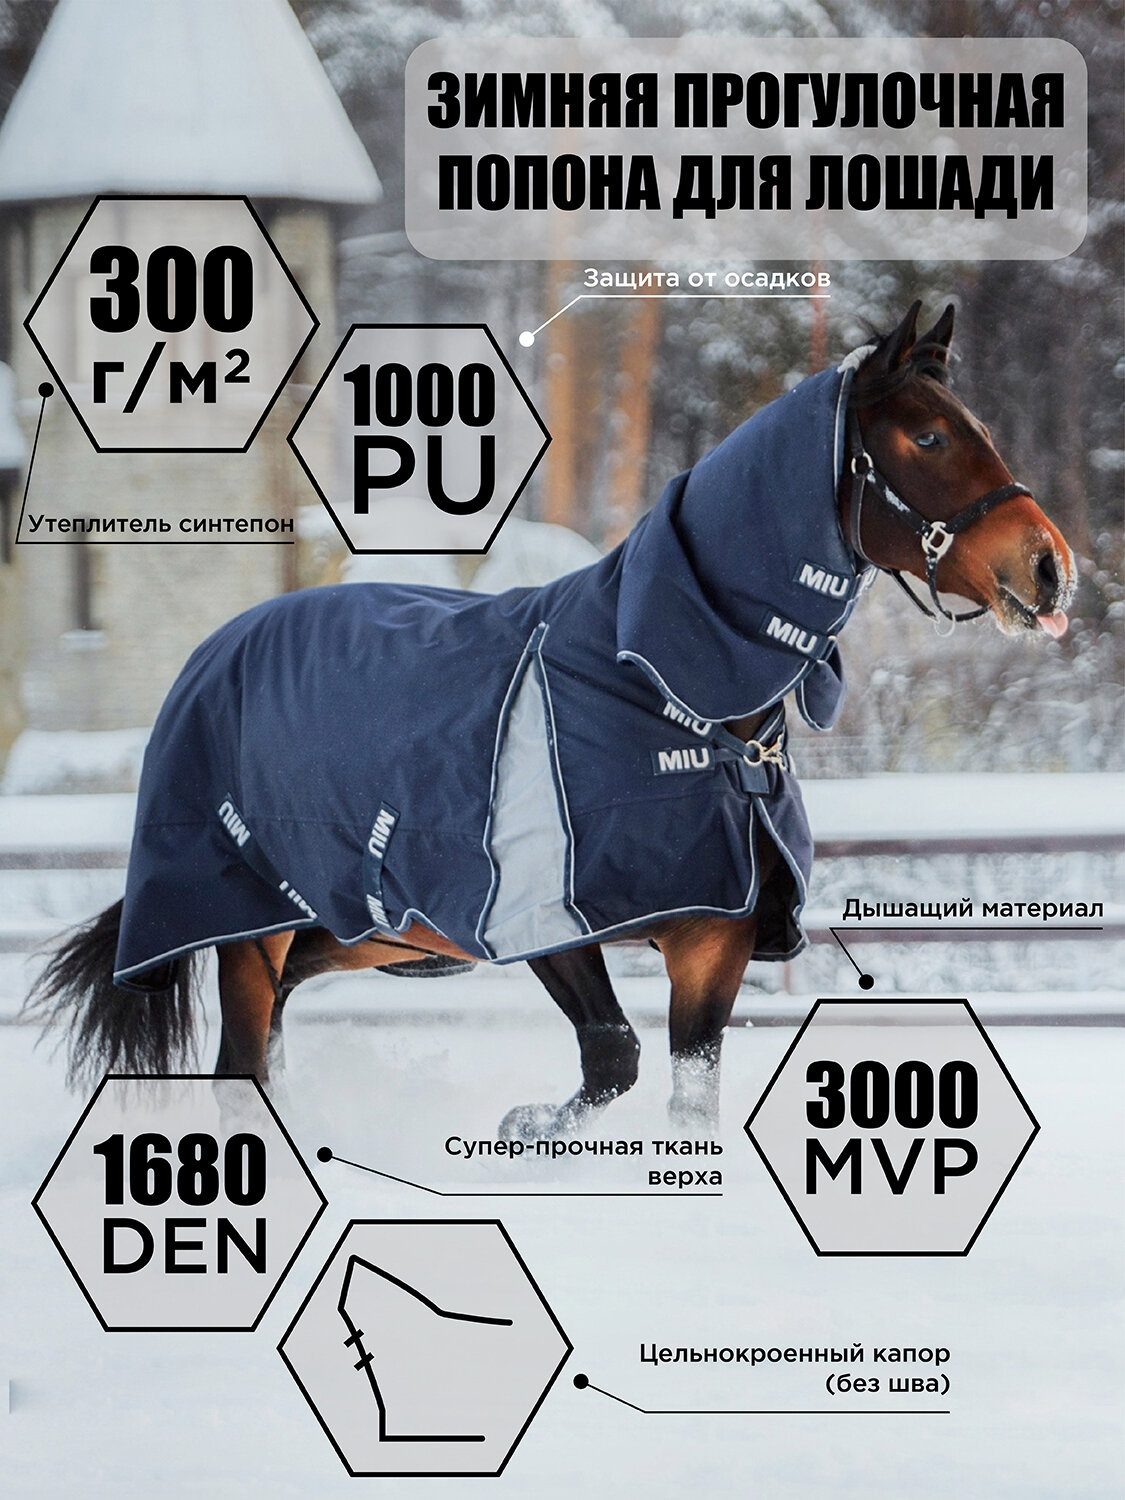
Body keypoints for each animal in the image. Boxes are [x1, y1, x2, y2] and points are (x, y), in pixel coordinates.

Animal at [28, 303, 1075, 1136]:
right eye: (927, 438)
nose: (1048, 568)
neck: (670, 697)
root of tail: (215, 652)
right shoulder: (549, 921)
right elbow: (611, 1058)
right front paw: (525, 1129)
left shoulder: (713, 944)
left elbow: (686, 1095)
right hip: (249, 926)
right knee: (241, 1067)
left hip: (372, 932)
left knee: (277, 1026)